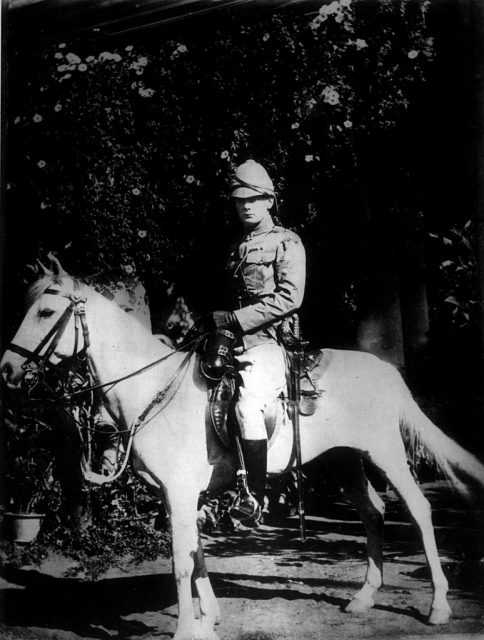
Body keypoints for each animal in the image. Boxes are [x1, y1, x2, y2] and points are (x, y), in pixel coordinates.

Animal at [0, 272, 484, 640]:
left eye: (46, 312)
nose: (7, 368)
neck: (154, 387)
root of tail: (386, 370)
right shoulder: (176, 498)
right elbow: (196, 556)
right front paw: (207, 619)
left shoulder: (179, 494)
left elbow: (181, 563)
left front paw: (185, 630)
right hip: (343, 460)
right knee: (374, 513)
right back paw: (364, 597)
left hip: (385, 454)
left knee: (418, 511)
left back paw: (439, 606)